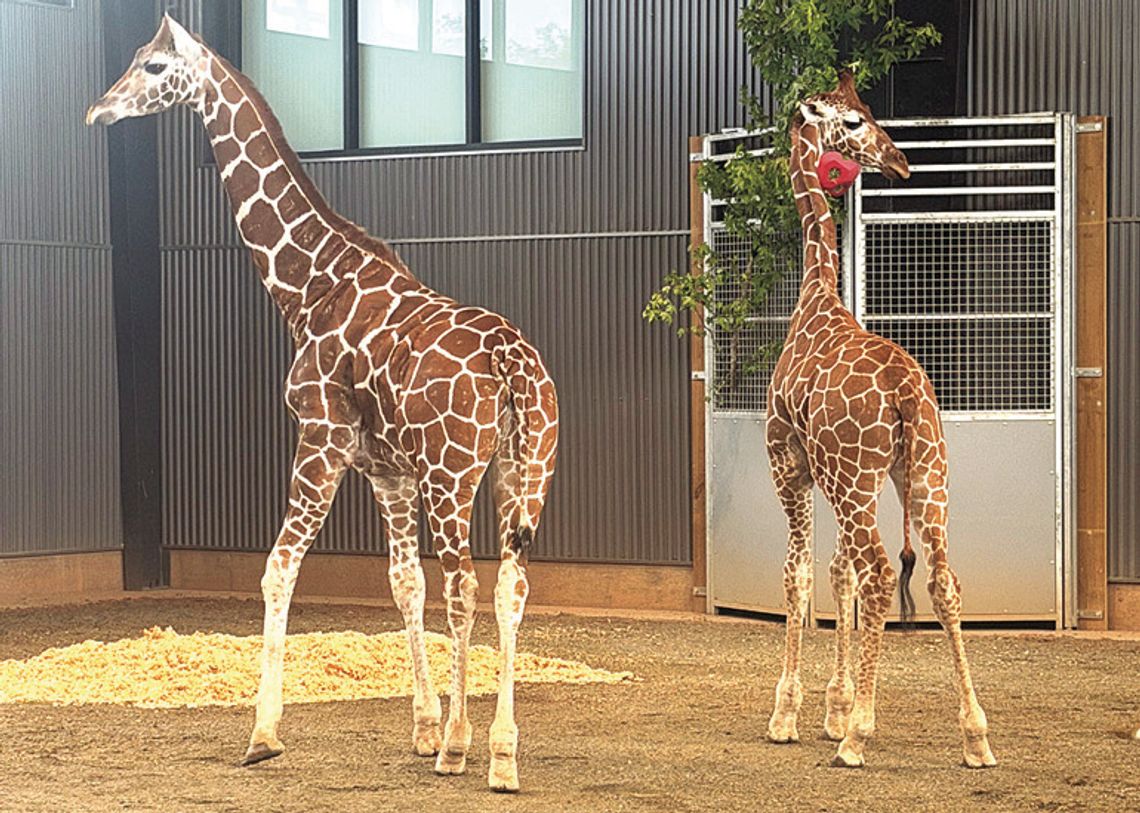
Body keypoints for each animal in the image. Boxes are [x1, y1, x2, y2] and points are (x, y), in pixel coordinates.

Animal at [86, 15, 558, 792]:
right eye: (133, 59)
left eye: (153, 66)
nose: (99, 112)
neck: (309, 284)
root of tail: (512, 363)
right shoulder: (386, 470)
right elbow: (403, 583)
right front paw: (421, 726)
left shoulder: (322, 436)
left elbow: (279, 568)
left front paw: (263, 733)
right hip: (526, 470)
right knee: (509, 584)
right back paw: (502, 753)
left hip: (454, 474)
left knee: (466, 582)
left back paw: (463, 747)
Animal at [763, 71, 997, 769]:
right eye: (855, 120)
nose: (899, 160)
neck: (815, 297)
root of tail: (904, 394)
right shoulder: (833, 477)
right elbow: (835, 573)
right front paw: (835, 708)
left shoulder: (790, 466)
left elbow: (800, 576)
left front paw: (793, 715)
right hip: (923, 473)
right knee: (942, 578)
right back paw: (976, 736)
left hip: (857, 477)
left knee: (881, 572)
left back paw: (859, 739)